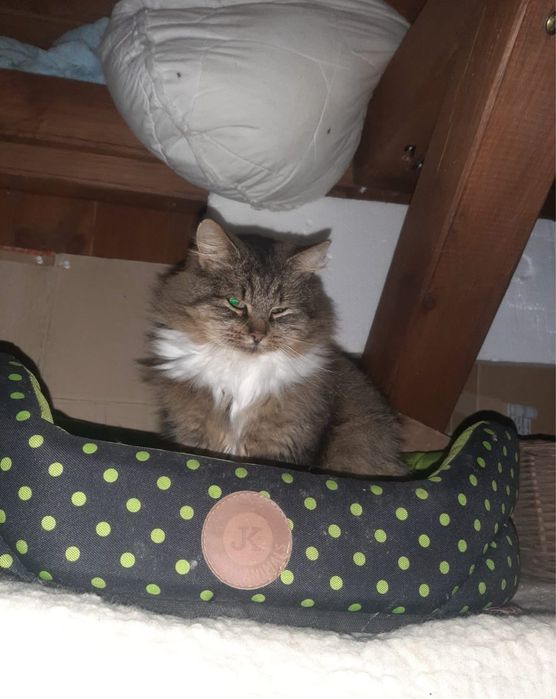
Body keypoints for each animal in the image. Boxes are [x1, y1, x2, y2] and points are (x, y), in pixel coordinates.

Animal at [145, 219, 407, 477]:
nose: (257, 336)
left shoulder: (285, 443)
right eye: (236, 303)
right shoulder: (189, 430)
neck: (242, 371)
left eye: (279, 311)